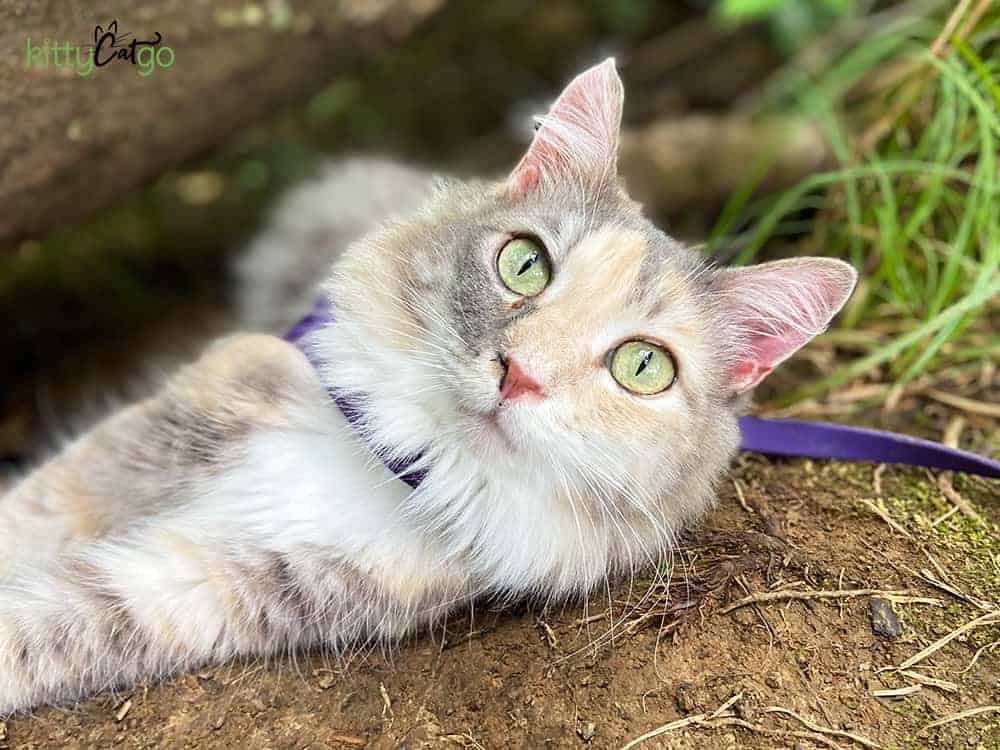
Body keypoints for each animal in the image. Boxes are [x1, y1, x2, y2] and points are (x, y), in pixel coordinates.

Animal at [0, 60, 860, 716]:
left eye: (642, 367)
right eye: (525, 264)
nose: (520, 373)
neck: (394, 454)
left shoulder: (237, 581)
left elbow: (46, 626)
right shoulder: (174, 425)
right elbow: (26, 520)